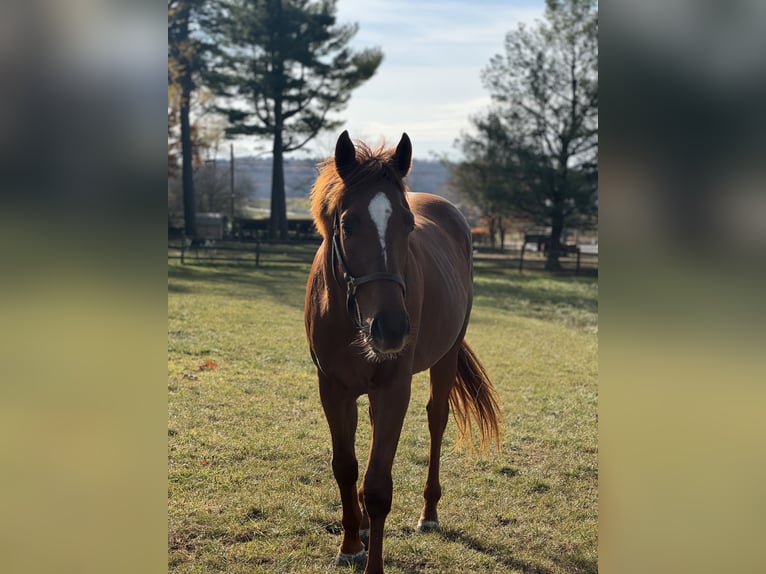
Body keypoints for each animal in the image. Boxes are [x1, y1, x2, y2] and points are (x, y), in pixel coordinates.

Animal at [306, 132, 504, 574]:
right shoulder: (333, 389)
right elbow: (346, 469)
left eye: (408, 225)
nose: (392, 329)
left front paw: (373, 563)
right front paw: (350, 543)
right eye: (347, 224)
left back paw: (428, 514)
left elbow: (378, 486)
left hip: (445, 359)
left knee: (437, 420)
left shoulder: (395, 388)